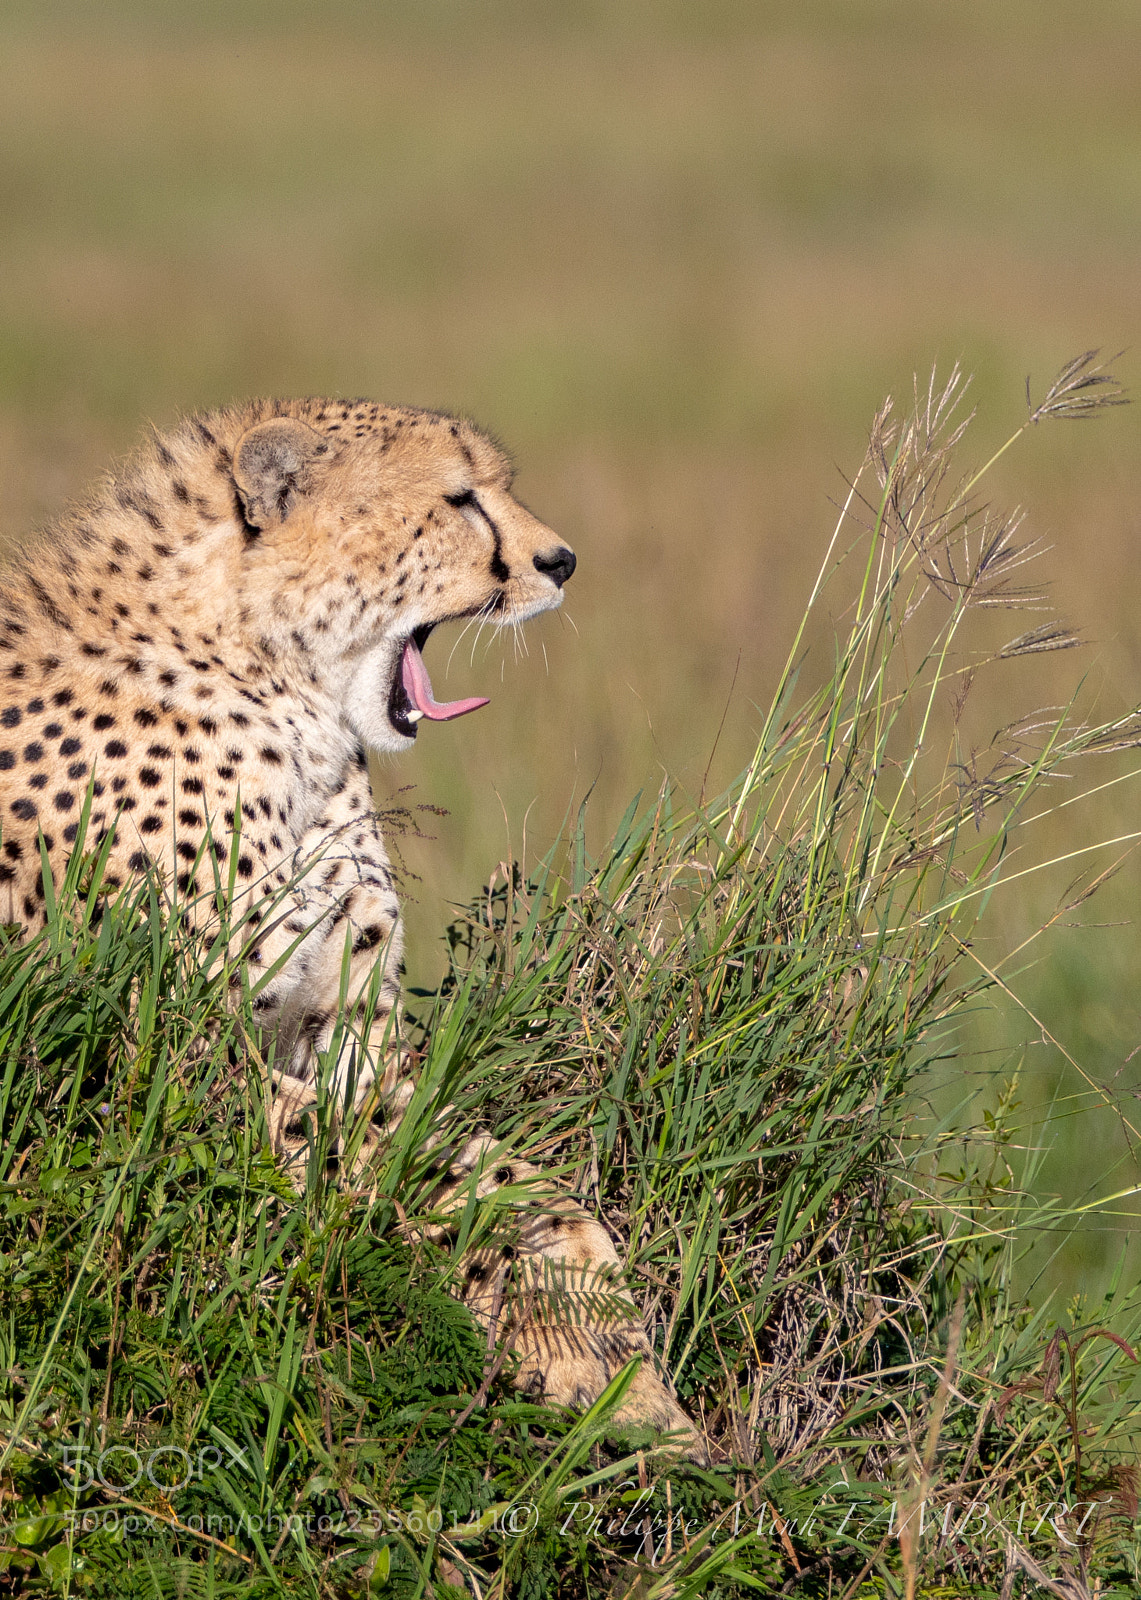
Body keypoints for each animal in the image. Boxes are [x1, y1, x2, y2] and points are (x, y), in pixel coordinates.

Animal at [0, 396, 702, 1457]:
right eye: (457, 498)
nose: (561, 561)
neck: (284, 692)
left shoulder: (343, 1031)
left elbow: (503, 1168)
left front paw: (601, 1346)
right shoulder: (171, 1058)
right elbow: (367, 1156)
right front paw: (560, 1334)